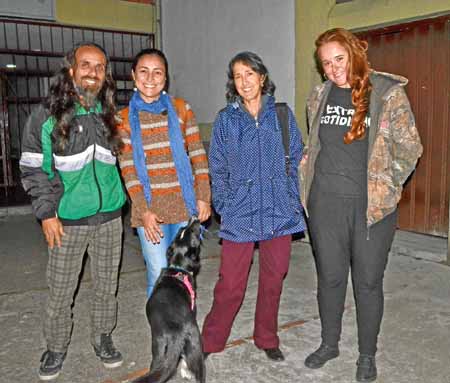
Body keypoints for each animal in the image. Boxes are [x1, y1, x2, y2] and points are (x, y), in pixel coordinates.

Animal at [133, 216, 205, 383]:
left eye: (181, 230)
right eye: (193, 233)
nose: (193, 217)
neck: (177, 267)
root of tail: (176, 334)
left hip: (159, 351)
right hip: (196, 346)